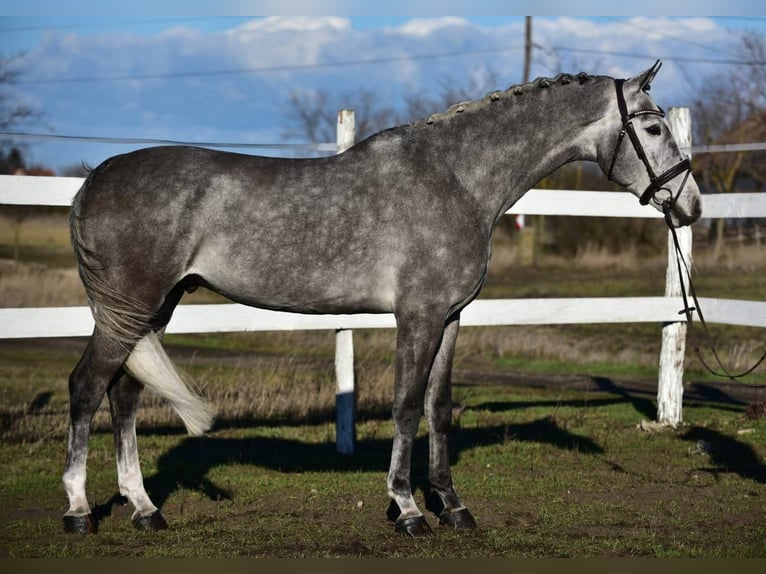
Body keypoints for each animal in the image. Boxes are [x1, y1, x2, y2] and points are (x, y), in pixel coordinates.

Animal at [63, 61, 701, 537]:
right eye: (651, 129)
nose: (690, 205)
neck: (457, 179)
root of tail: (94, 178)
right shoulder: (417, 317)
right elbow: (406, 405)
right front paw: (409, 509)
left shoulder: (450, 318)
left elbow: (438, 409)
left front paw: (454, 507)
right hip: (132, 308)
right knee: (88, 388)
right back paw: (78, 510)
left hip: (153, 308)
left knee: (123, 394)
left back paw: (145, 509)